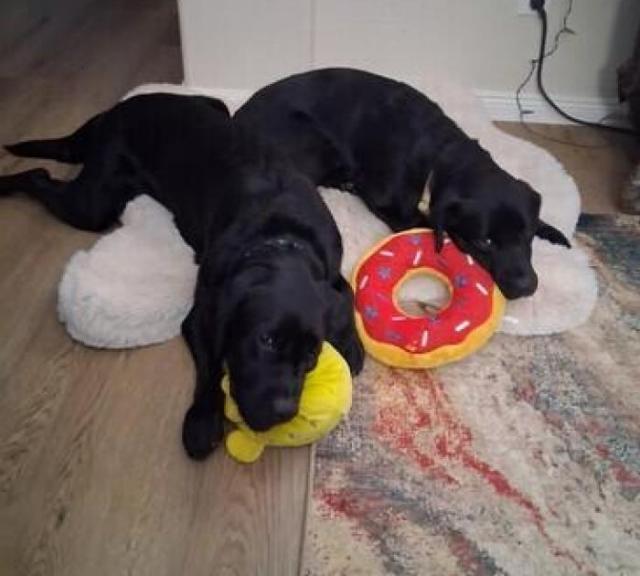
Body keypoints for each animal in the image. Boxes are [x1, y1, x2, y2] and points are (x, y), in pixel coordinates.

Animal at [0, 93, 364, 460]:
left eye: (311, 356)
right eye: (267, 340)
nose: (284, 412)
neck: (281, 236)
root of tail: (120, 107)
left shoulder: (330, 271)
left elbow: (347, 295)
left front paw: (351, 345)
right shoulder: (203, 313)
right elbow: (211, 364)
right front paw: (202, 419)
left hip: (214, 106)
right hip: (91, 204)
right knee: (38, 174)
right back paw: (4, 185)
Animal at [235, 67, 571, 300]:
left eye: (526, 235)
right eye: (485, 242)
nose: (527, 287)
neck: (440, 155)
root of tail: (237, 117)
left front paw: (556, 234)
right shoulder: (394, 207)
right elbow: (430, 225)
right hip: (313, 140)